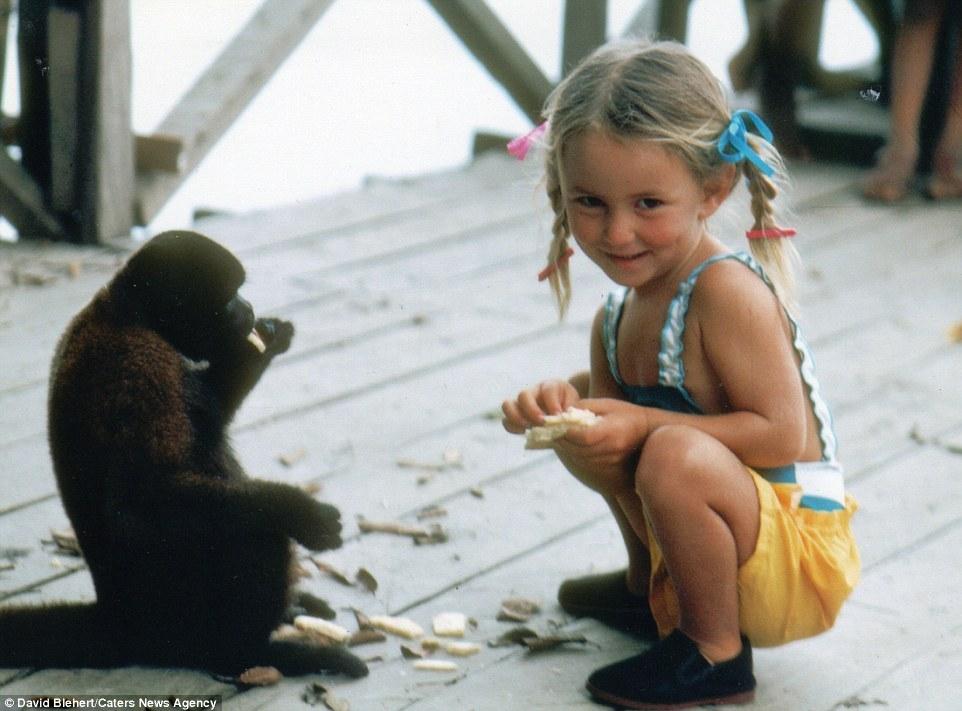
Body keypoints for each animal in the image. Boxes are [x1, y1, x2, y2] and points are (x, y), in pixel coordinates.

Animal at [0, 232, 366, 680]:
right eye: (230, 298)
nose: (247, 307)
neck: (127, 312)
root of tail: (119, 616)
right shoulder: (140, 367)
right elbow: (144, 498)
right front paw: (299, 510)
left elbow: (211, 413)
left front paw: (267, 342)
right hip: (181, 612)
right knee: (257, 530)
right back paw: (249, 654)